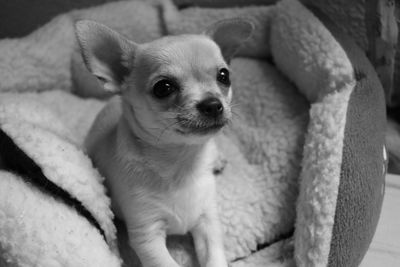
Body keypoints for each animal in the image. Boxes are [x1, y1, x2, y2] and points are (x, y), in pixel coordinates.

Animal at [76, 18, 253, 267]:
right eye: (163, 88)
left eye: (224, 76)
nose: (212, 104)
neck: (182, 162)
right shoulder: (147, 236)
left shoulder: (208, 222)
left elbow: (215, 259)